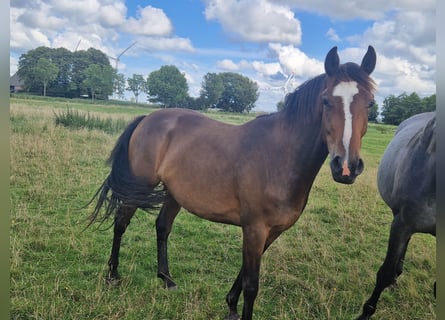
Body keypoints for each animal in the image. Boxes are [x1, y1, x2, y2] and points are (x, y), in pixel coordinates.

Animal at [87, 45, 374, 320]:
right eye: (326, 101)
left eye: (370, 104)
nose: (346, 167)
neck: (279, 156)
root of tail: (147, 119)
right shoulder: (255, 228)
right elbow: (251, 285)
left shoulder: (270, 232)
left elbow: (244, 273)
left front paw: (231, 306)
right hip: (139, 186)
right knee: (121, 223)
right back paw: (113, 275)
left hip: (174, 194)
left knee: (162, 227)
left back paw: (167, 280)